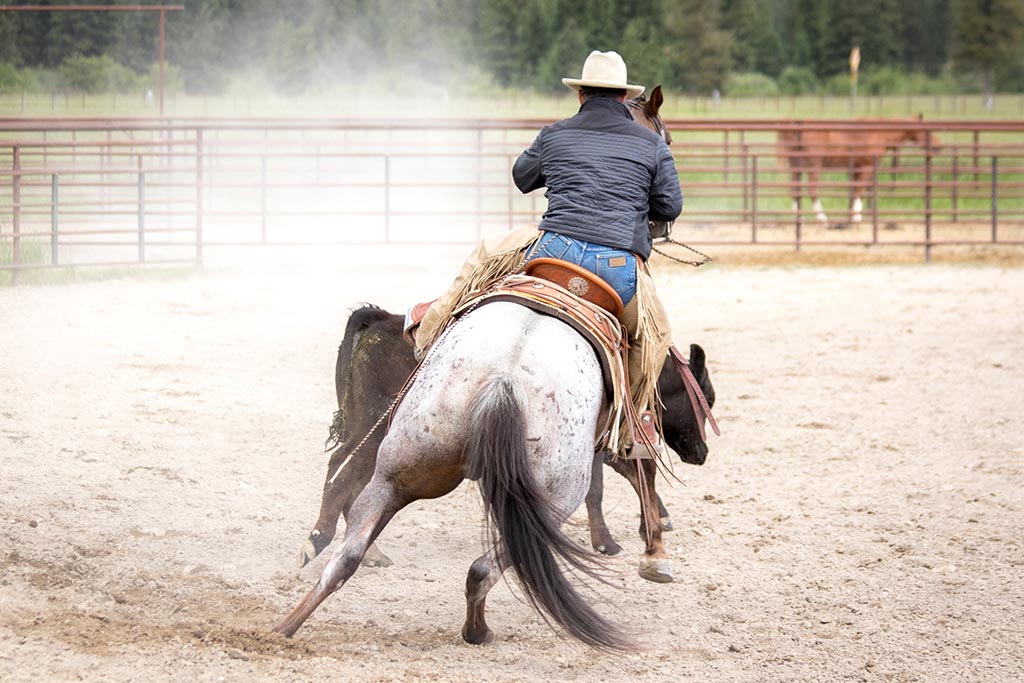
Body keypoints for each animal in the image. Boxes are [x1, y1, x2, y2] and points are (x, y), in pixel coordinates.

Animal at [774, 119, 937, 227]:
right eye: (926, 131)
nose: (938, 146)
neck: (877, 133)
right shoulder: (866, 168)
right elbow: (860, 191)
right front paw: (857, 218)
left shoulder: (855, 169)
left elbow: (853, 192)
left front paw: (849, 218)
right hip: (814, 167)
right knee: (812, 190)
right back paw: (823, 219)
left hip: (796, 168)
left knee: (794, 190)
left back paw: (798, 218)